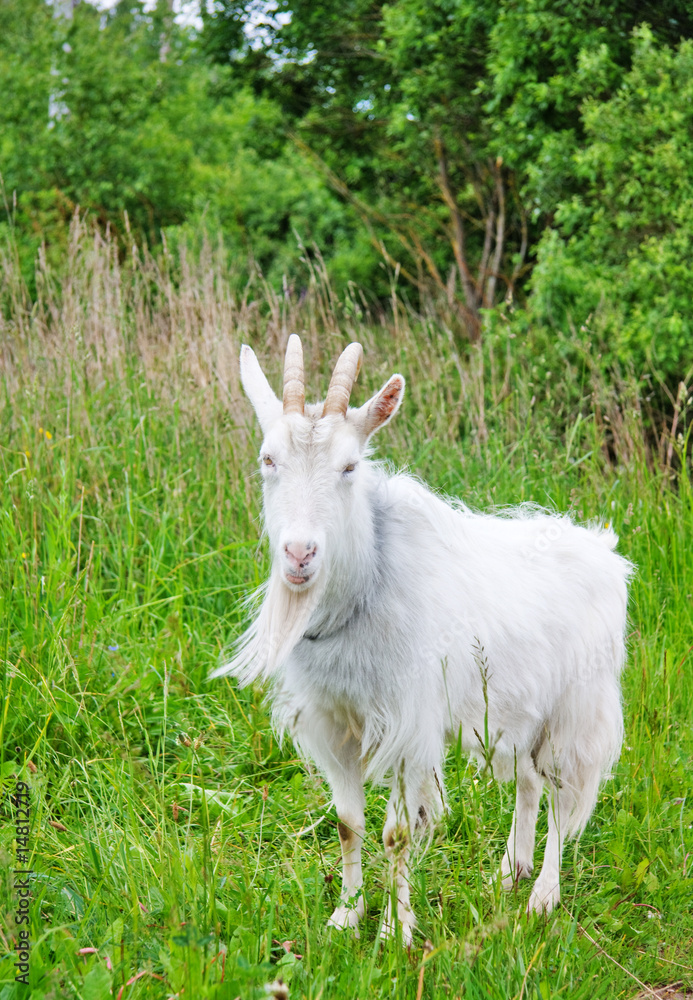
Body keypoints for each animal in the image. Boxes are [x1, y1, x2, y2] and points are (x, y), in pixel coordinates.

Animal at [212, 335, 632, 945]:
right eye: (269, 460)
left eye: (349, 465)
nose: (299, 554)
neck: (368, 586)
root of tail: (604, 552)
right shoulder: (335, 723)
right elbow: (348, 823)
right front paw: (346, 916)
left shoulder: (409, 726)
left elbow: (399, 833)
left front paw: (395, 933)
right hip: (508, 710)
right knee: (529, 782)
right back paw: (509, 873)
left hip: (574, 709)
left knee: (560, 793)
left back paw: (542, 896)